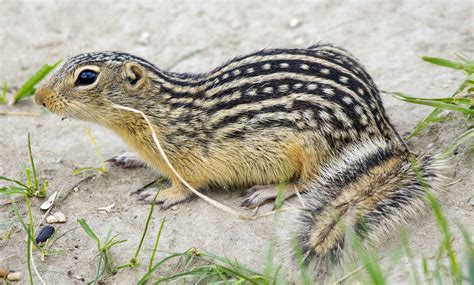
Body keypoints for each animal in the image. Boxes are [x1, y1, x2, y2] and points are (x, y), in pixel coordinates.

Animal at [35, 43, 446, 272]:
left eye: (86, 77)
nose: (38, 97)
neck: (158, 111)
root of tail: (386, 131)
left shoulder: (187, 159)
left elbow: (184, 185)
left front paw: (160, 195)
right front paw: (128, 157)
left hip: (314, 147)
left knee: (308, 182)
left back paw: (268, 190)